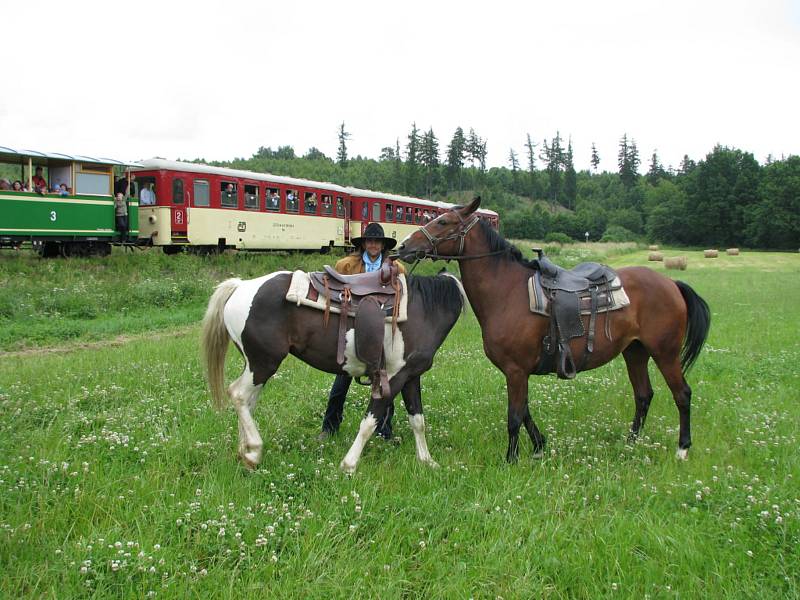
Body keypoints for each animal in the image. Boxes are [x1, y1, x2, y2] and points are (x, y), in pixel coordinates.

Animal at [200, 270, 466, 474]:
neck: (424, 308)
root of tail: (241, 286)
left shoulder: (411, 376)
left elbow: (417, 420)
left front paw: (427, 462)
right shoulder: (393, 377)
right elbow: (370, 421)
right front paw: (349, 465)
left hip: (256, 365)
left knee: (248, 402)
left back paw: (244, 451)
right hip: (263, 363)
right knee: (238, 395)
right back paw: (253, 451)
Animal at [396, 199, 708, 462]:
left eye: (444, 222)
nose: (403, 246)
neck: (507, 292)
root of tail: (671, 283)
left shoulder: (516, 370)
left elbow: (514, 416)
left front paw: (511, 459)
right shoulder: (518, 371)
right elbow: (525, 411)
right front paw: (538, 446)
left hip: (665, 353)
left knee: (682, 395)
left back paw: (682, 449)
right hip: (635, 352)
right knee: (643, 395)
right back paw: (630, 444)